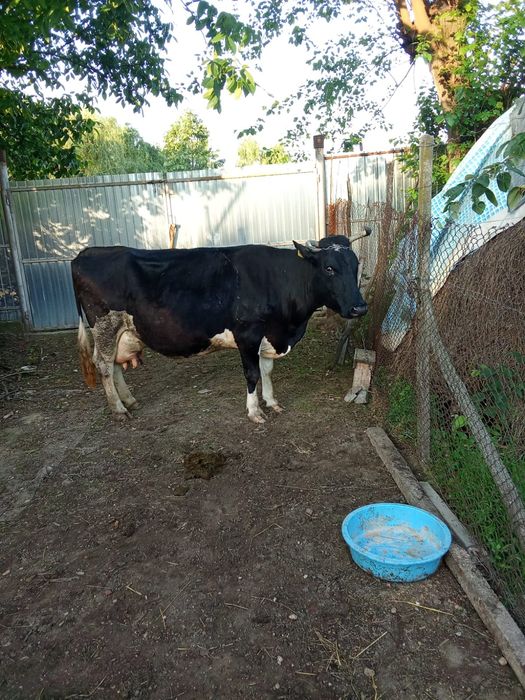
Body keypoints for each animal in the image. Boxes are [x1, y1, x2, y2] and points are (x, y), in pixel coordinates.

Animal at [71, 234, 368, 423]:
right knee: (104, 365)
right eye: (329, 268)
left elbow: (267, 371)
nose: (359, 308)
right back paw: (118, 409)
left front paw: (272, 402)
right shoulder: (248, 335)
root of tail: (86, 253)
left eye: (356, 265)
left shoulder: (267, 336)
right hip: (104, 325)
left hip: (121, 330)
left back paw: (129, 400)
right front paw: (254, 412)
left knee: (115, 365)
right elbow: (252, 374)